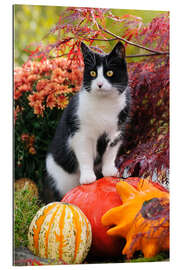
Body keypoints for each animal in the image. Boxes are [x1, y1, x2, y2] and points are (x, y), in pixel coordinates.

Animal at [43, 40, 131, 200]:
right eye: (93, 73)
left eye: (109, 73)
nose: (99, 84)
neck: (104, 105)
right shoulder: (80, 134)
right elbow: (85, 156)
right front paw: (88, 177)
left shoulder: (117, 131)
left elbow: (111, 152)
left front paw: (109, 170)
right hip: (61, 178)